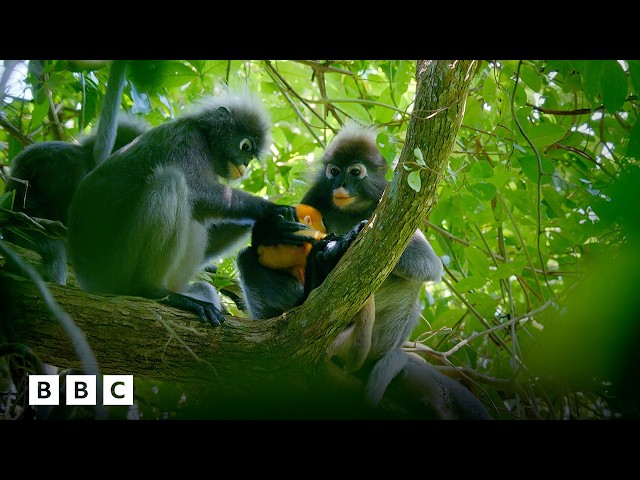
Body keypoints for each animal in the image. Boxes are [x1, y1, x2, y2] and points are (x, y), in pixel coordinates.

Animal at [66, 87, 310, 327]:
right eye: (245, 146)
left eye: (251, 155)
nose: (245, 164)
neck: (204, 136)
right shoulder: (186, 138)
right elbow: (197, 190)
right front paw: (272, 210)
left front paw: (268, 230)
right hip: (115, 269)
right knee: (172, 181)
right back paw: (150, 290)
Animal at [237, 120, 444, 407]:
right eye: (334, 171)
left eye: (355, 172)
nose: (341, 183)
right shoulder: (315, 196)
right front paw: (272, 230)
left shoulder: (391, 200)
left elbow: (429, 263)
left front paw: (347, 239)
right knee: (246, 259)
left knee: (409, 285)